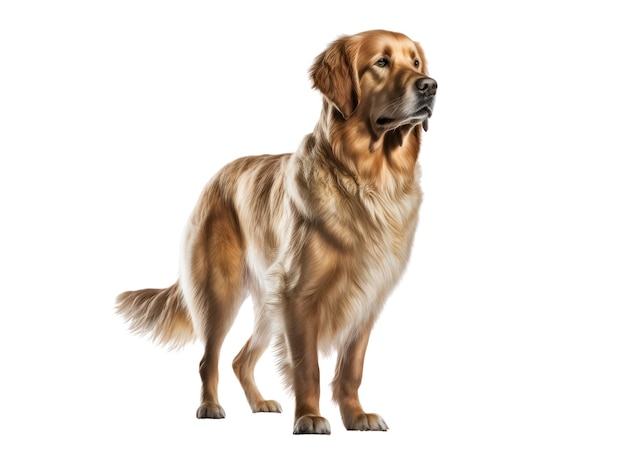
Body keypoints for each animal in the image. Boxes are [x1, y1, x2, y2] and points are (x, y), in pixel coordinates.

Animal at [118, 30, 438, 432]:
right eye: (381, 62)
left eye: (416, 63)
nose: (430, 85)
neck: (368, 180)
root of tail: (215, 179)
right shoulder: (298, 295)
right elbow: (308, 367)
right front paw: (311, 417)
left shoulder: (367, 295)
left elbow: (352, 368)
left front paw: (356, 415)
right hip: (220, 293)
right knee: (209, 359)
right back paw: (210, 406)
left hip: (268, 305)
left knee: (240, 359)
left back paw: (259, 403)